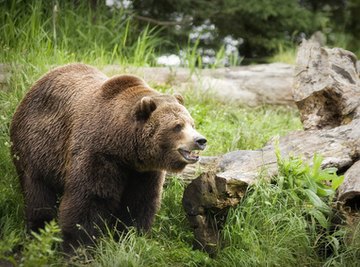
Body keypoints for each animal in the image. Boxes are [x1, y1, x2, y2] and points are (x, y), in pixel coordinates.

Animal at [9, 63, 207, 252]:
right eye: (177, 126)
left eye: (192, 123)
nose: (200, 140)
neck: (124, 148)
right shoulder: (98, 154)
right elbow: (89, 199)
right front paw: (79, 246)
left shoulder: (143, 172)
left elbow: (139, 203)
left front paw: (131, 238)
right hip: (36, 149)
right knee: (39, 195)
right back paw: (38, 231)